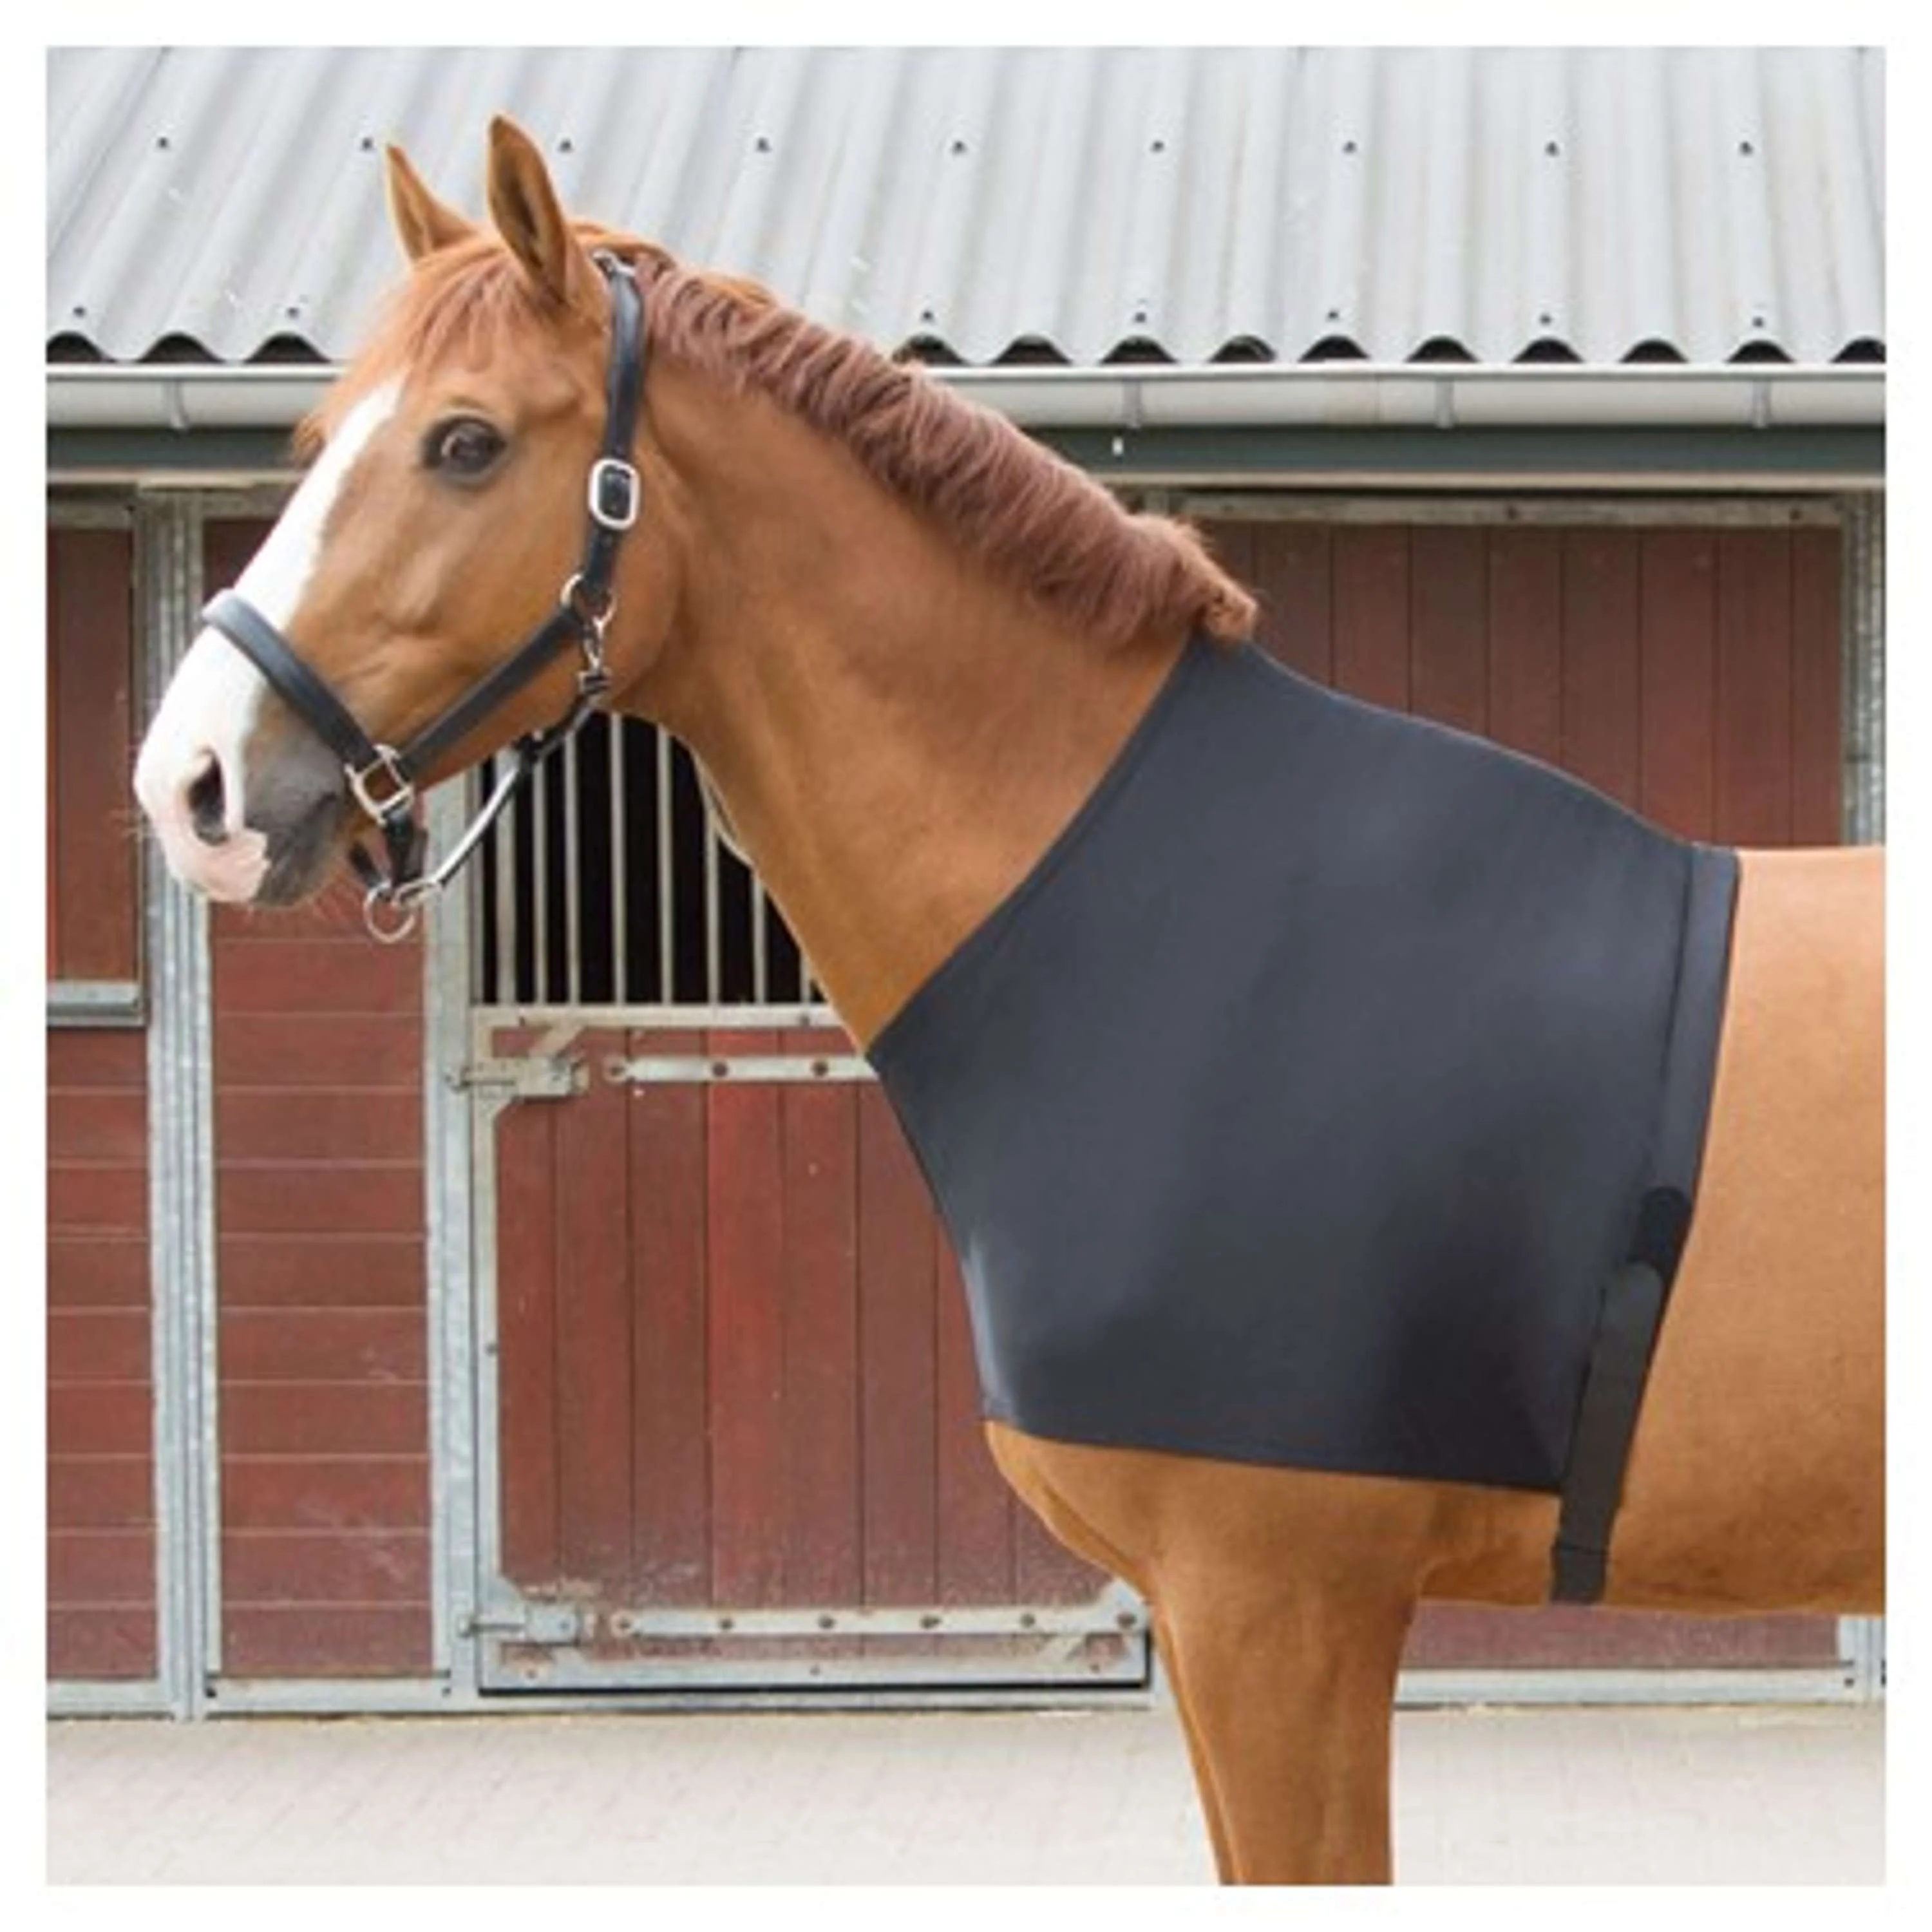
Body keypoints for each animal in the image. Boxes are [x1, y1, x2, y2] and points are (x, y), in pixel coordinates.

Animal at [133, 118, 1883, 1884]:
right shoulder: (1234, 1623)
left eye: (467, 443)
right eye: (316, 434)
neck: (1182, 930)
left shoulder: (1278, 1609)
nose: (192, 783)